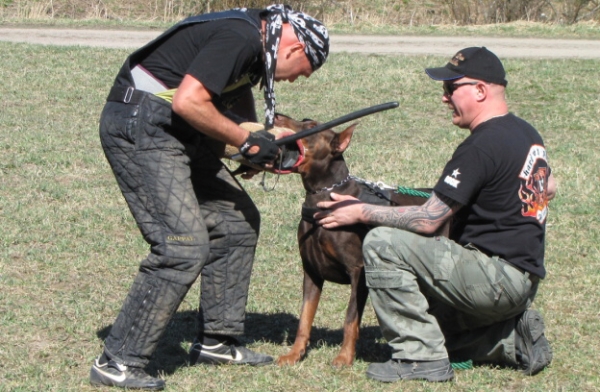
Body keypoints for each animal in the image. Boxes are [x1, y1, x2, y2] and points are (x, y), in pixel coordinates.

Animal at [272, 113, 446, 368]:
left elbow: (350, 317)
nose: (277, 115)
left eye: (311, 126)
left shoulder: (359, 272)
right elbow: (305, 317)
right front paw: (294, 354)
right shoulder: (311, 271)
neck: (323, 195)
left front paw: (344, 357)